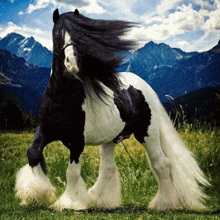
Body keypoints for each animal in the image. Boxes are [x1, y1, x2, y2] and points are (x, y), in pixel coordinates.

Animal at [15, 9, 210, 211]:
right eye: (57, 35)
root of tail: (144, 86)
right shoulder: (43, 132)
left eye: (82, 36)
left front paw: (70, 203)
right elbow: (33, 153)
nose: (72, 63)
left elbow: (72, 172)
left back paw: (163, 203)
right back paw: (101, 200)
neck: (62, 98)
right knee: (108, 168)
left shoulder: (77, 142)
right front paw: (32, 195)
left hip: (148, 133)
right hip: (110, 139)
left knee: (161, 163)